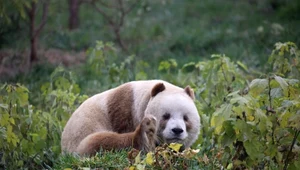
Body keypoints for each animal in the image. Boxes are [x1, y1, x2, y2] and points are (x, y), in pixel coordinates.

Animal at [61, 80, 200, 156]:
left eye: (186, 118)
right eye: (166, 116)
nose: (177, 130)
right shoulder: (124, 109)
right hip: (81, 136)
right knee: (97, 142)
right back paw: (145, 135)